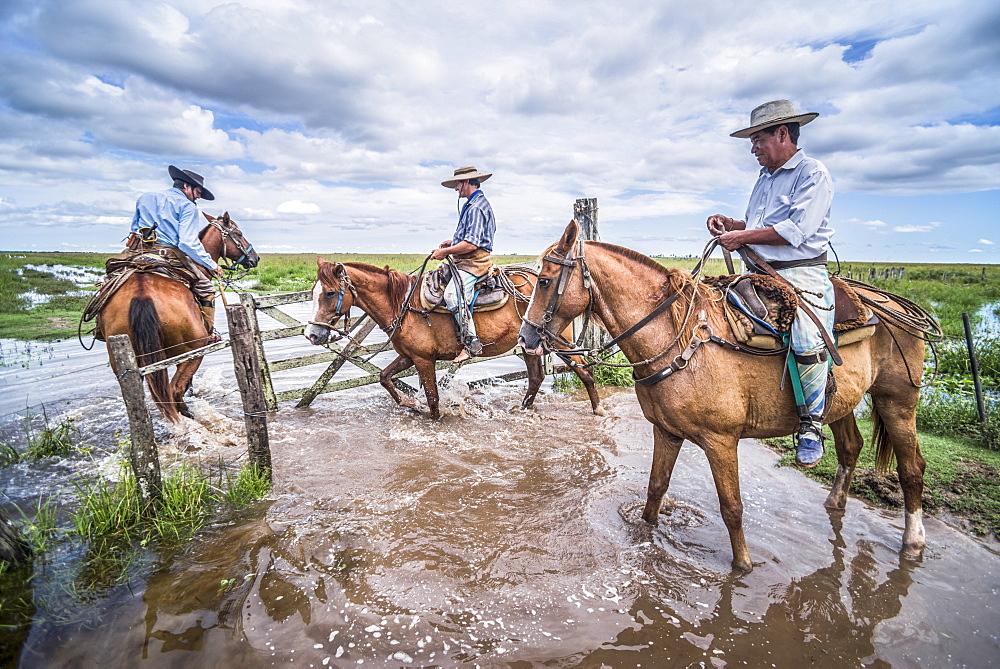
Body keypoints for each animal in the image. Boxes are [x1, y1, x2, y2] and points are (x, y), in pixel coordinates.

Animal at [99, 213, 258, 422]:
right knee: (174, 390)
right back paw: (188, 415)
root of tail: (142, 294)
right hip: (193, 351)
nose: (254, 258)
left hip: (128, 363)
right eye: (239, 234)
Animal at [304, 260, 600, 418]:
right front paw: (410, 404)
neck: (402, 305)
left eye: (330, 293)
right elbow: (384, 377)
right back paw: (522, 410)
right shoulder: (407, 356)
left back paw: (597, 410)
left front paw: (432, 418)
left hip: (558, 343)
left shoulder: (423, 359)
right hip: (529, 345)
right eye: (314, 291)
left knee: (584, 372)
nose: (312, 334)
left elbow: (433, 398)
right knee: (537, 378)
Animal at [520, 222, 932, 572]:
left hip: (897, 400)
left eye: (545, 280)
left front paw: (743, 566)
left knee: (911, 468)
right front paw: (647, 535)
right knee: (850, 446)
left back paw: (913, 542)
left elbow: (731, 507)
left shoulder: (721, 441)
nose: (526, 338)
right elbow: (655, 491)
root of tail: (892, 303)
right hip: (843, 402)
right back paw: (834, 503)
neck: (680, 341)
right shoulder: (666, 432)